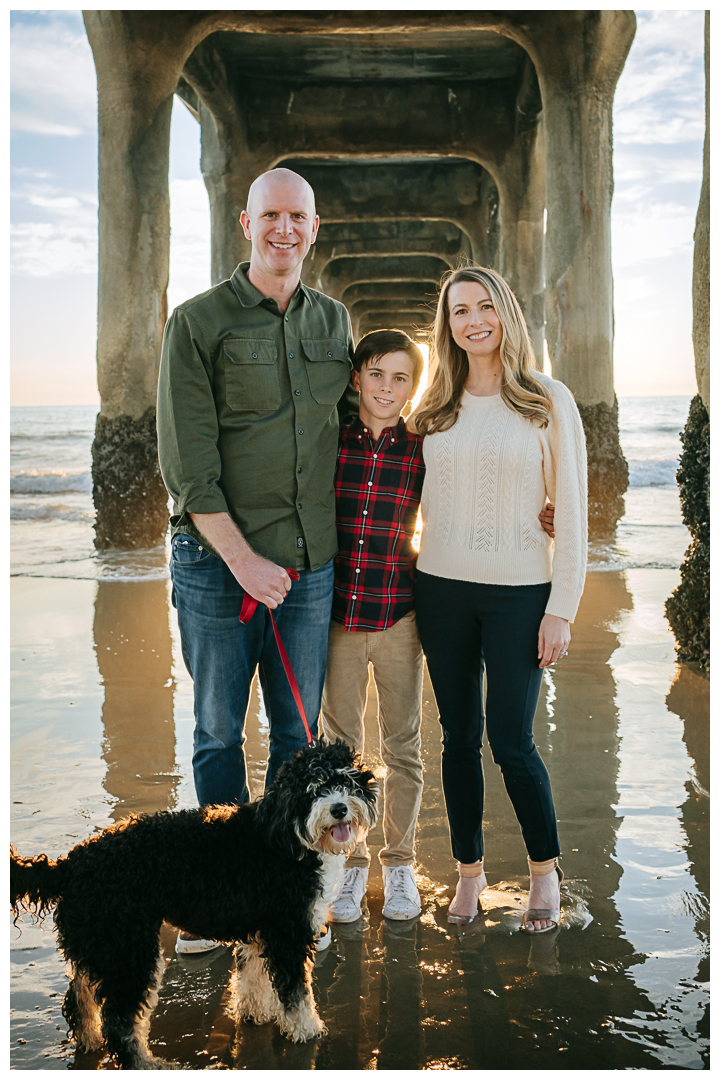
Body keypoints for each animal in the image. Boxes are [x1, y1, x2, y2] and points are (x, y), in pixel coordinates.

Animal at [9, 738, 377, 1067]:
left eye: (346, 781)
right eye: (314, 789)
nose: (339, 808)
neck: (287, 834)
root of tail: (72, 862)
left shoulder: (260, 931)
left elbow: (252, 977)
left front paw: (255, 1012)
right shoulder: (287, 933)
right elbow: (296, 993)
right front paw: (306, 1029)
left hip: (100, 944)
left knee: (79, 998)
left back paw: (89, 1039)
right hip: (129, 951)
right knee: (121, 1022)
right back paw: (147, 1064)